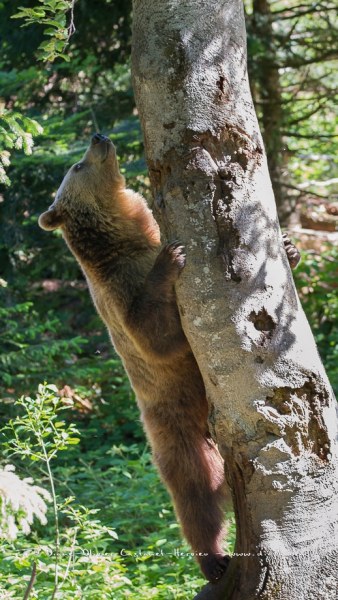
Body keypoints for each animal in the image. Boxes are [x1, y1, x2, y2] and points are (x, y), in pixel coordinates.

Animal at [39, 132, 302, 580]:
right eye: (76, 166)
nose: (98, 136)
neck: (125, 241)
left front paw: (289, 245)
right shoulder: (118, 295)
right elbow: (154, 335)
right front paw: (172, 258)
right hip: (172, 429)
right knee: (194, 497)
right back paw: (214, 560)